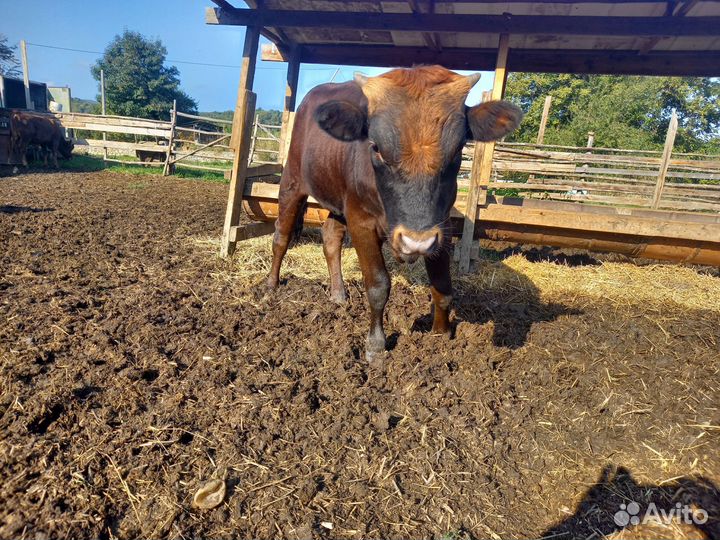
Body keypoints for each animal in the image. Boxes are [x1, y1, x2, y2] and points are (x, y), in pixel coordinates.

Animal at [266, 65, 522, 360]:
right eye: (376, 147)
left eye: (459, 149)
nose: (416, 242)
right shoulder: (362, 222)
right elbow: (378, 285)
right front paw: (376, 345)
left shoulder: (440, 226)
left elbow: (442, 285)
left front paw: (441, 334)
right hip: (292, 181)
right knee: (282, 235)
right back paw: (271, 286)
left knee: (330, 236)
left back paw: (338, 294)